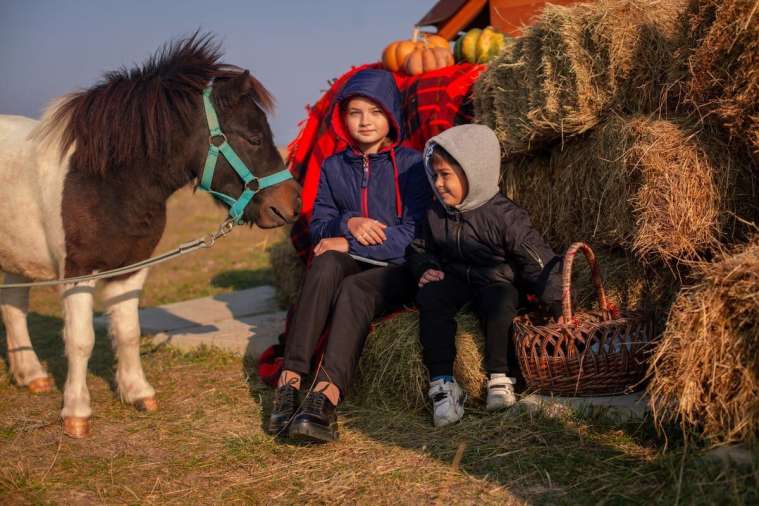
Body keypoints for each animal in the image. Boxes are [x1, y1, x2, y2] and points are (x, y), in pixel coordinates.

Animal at [0, 33, 302, 436]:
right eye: (253, 136)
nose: (291, 203)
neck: (104, 181)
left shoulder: (131, 267)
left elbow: (128, 332)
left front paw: (137, 392)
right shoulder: (77, 273)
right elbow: (80, 340)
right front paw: (76, 412)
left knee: (13, 307)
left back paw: (31, 375)